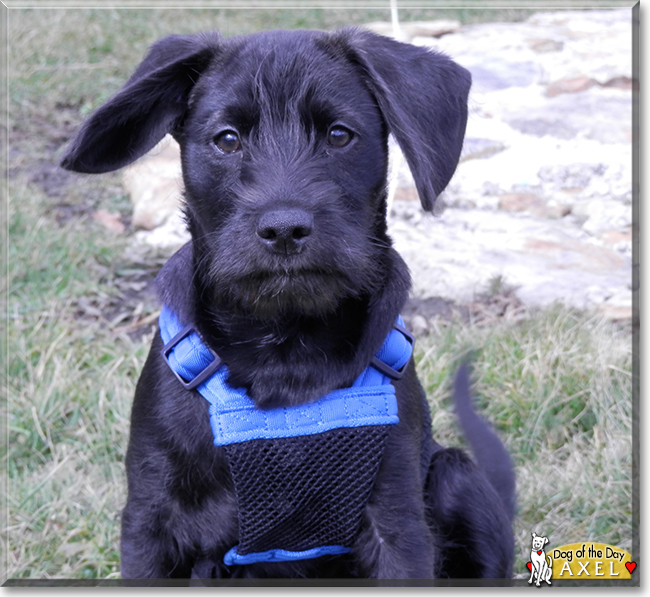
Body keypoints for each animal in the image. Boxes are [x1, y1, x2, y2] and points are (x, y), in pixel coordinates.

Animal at [63, 26, 512, 576]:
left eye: (339, 135)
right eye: (227, 139)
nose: (284, 229)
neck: (285, 345)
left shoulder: (398, 522)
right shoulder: (151, 521)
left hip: (454, 473)